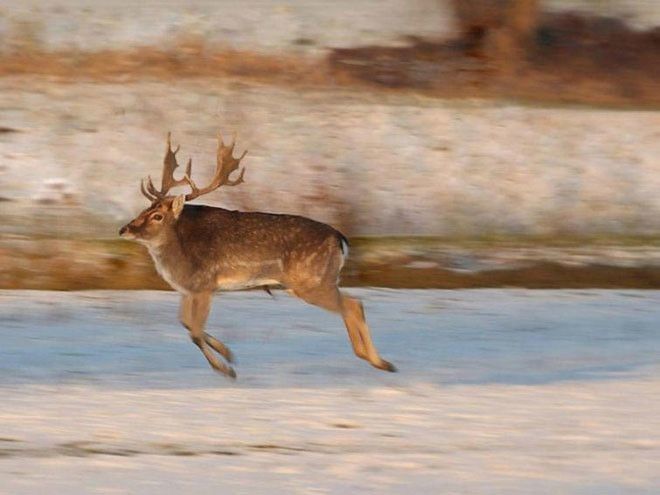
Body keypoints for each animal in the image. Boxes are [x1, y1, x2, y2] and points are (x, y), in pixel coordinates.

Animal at [118, 133, 394, 380]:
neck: (178, 257)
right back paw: (372, 358)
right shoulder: (188, 289)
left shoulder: (204, 284)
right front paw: (228, 354)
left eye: (157, 216)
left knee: (354, 305)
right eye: (144, 209)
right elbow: (186, 323)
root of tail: (340, 238)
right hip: (315, 282)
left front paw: (226, 369)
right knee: (352, 305)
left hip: (312, 281)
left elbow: (194, 331)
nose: (125, 229)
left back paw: (381, 362)